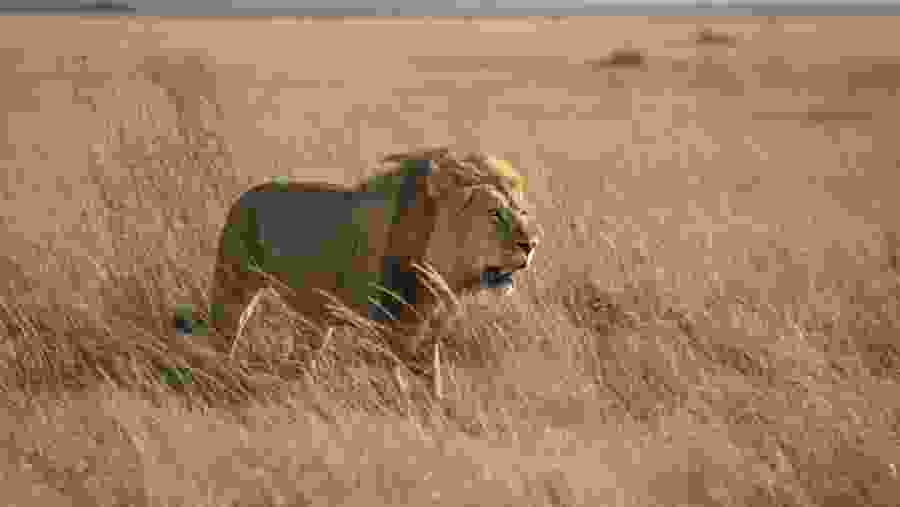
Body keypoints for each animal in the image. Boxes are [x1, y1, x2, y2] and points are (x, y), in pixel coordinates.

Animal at [179, 147, 541, 360]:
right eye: (495, 213)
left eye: (521, 212)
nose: (531, 244)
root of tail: (245, 196)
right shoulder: (395, 324)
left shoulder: (431, 327)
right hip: (232, 288)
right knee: (224, 337)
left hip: (316, 318)